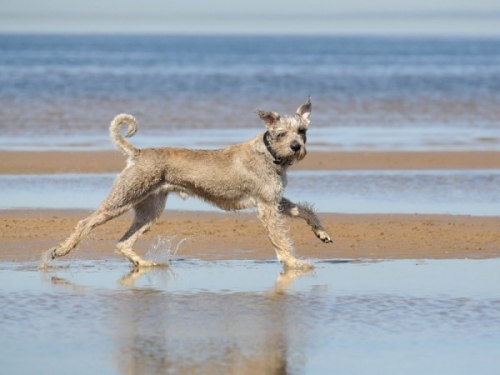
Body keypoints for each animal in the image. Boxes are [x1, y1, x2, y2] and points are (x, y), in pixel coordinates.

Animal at [49, 98, 332, 268]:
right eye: (281, 133)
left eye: (302, 131)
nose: (296, 147)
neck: (270, 155)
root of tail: (137, 153)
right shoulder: (266, 206)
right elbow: (279, 239)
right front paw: (293, 262)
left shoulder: (276, 200)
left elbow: (305, 210)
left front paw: (322, 234)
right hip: (123, 198)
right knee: (86, 222)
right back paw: (60, 251)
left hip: (150, 211)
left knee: (123, 242)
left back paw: (144, 264)